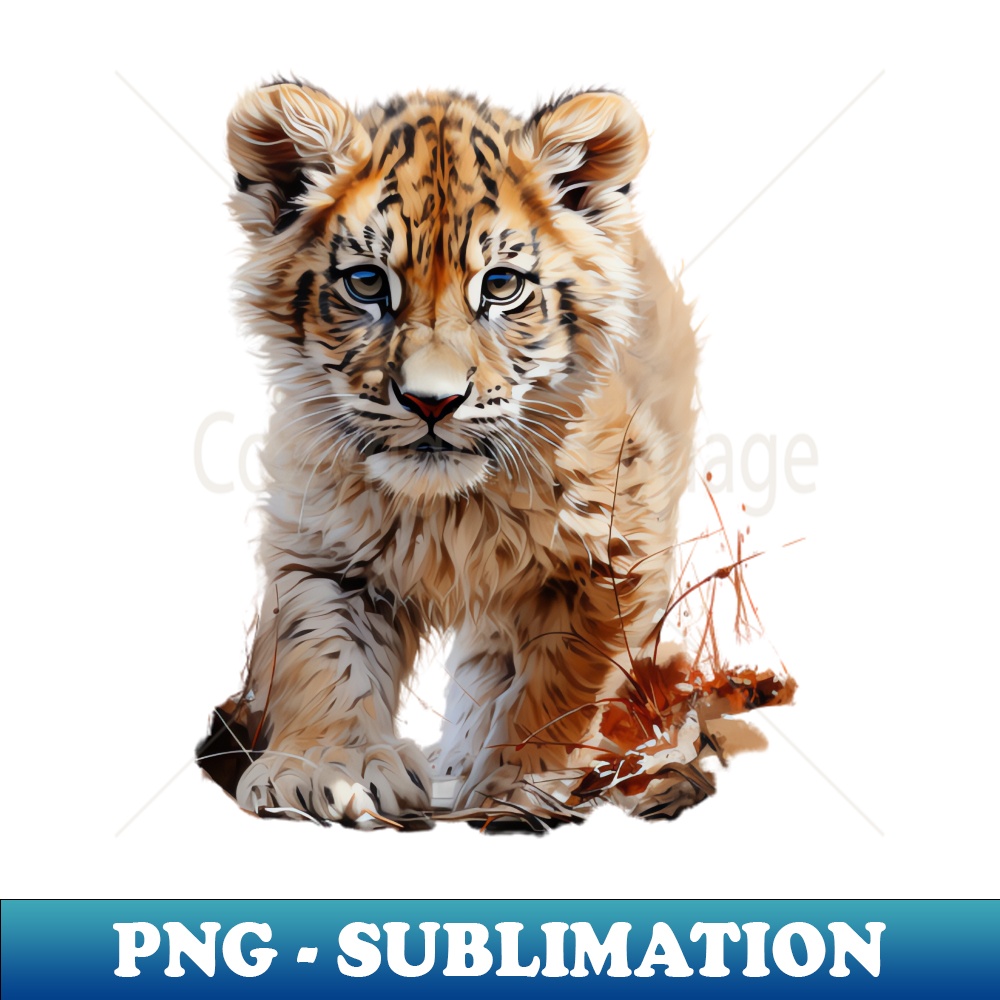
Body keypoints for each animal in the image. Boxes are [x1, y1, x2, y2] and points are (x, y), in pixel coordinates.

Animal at [197, 80, 698, 829]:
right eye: (366, 283)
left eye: (501, 285)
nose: (431, 402)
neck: (449, 508)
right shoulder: (322, 546)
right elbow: (321, 653)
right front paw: (325, 770)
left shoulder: (613, 553)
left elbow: (562, 680)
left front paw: (520, 784)